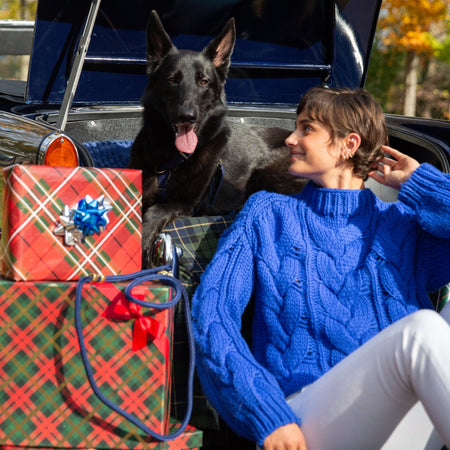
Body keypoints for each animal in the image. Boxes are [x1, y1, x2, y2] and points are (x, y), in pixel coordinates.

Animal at [128, 11, 308, 256]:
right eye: (172, 79)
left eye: (204, 81)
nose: (188, 117)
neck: (171, 160)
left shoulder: (184, 205)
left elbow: (156, 210)